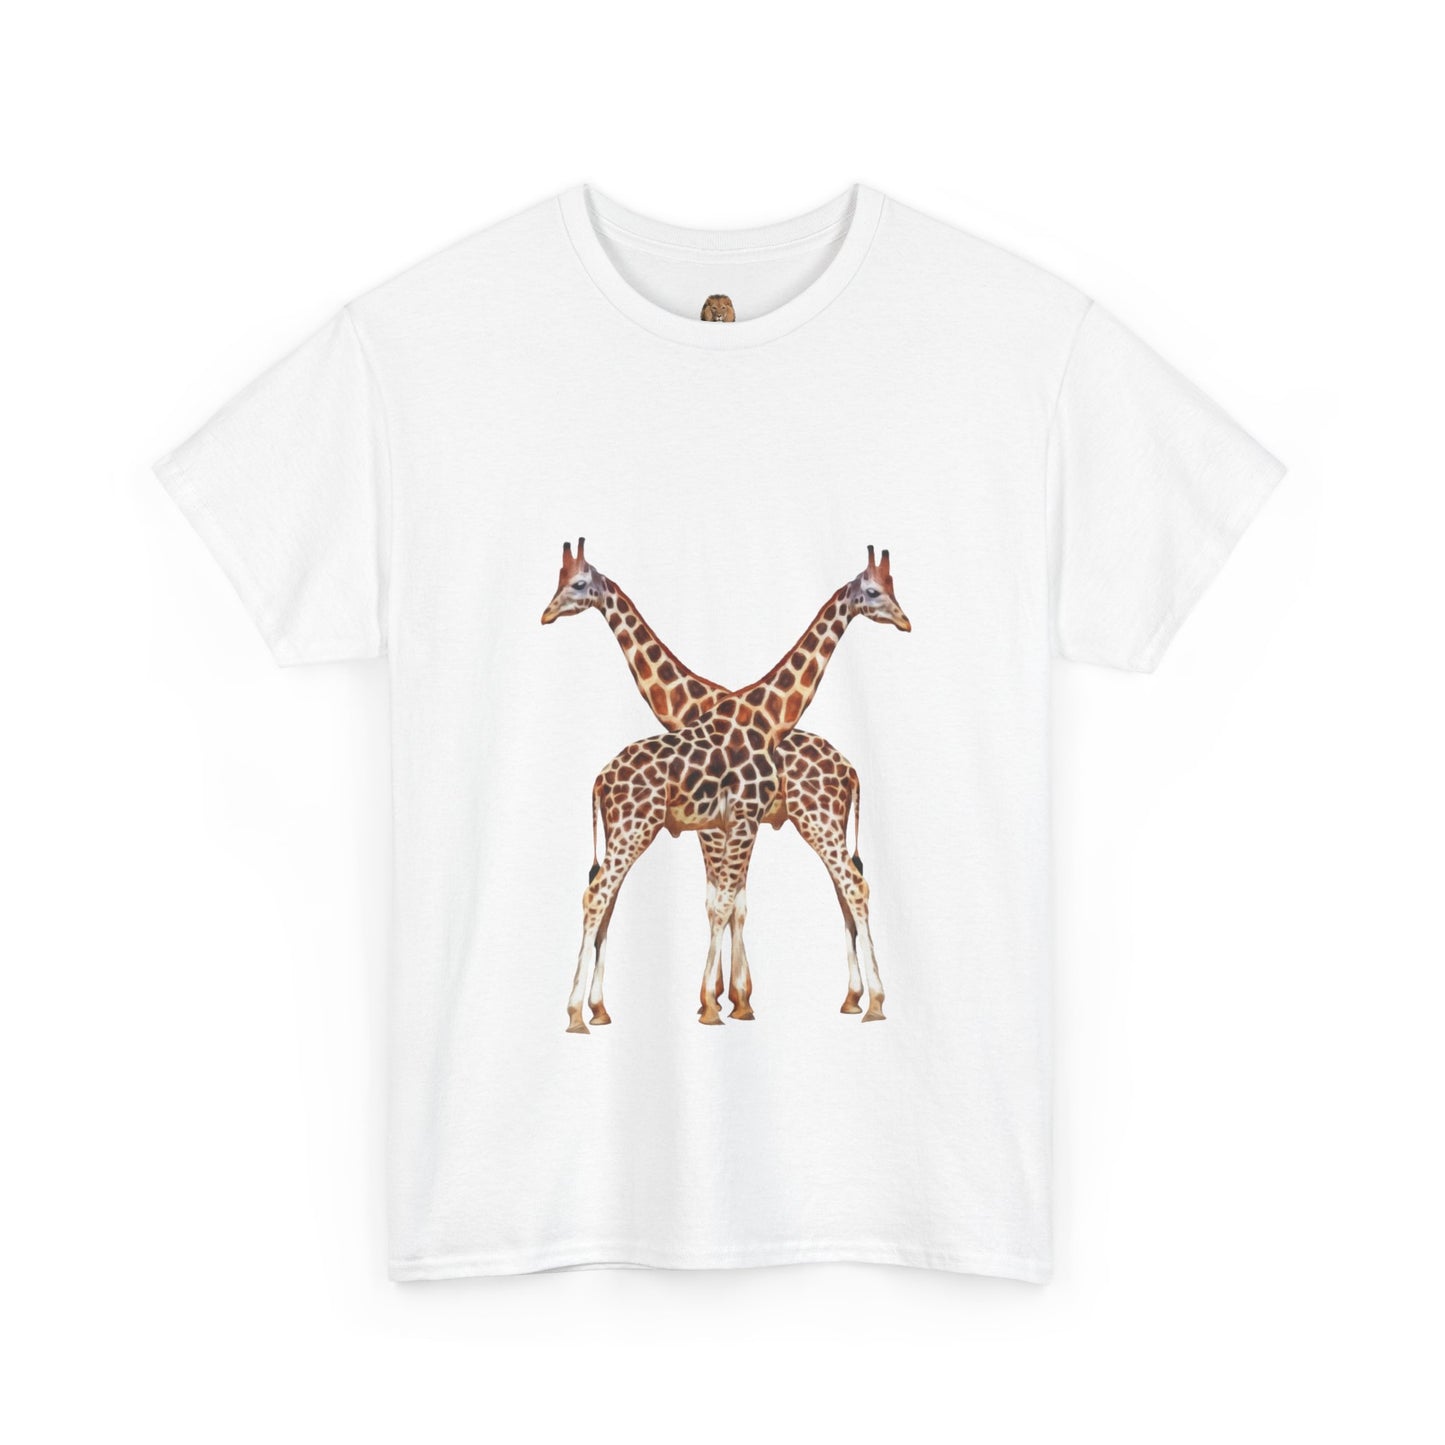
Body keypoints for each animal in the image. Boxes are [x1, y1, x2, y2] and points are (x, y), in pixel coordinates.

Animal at [552, 546, 910, 1033]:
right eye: (875, 591)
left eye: (576, 584)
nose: (905, 620)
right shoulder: (722, 824)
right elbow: (724, 902)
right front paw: (724, 1001)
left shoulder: (728, 822)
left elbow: (727, 903)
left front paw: (727, 1001)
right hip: (644, 830)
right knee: (599, 897)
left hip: (816, 822)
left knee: (852, 888)